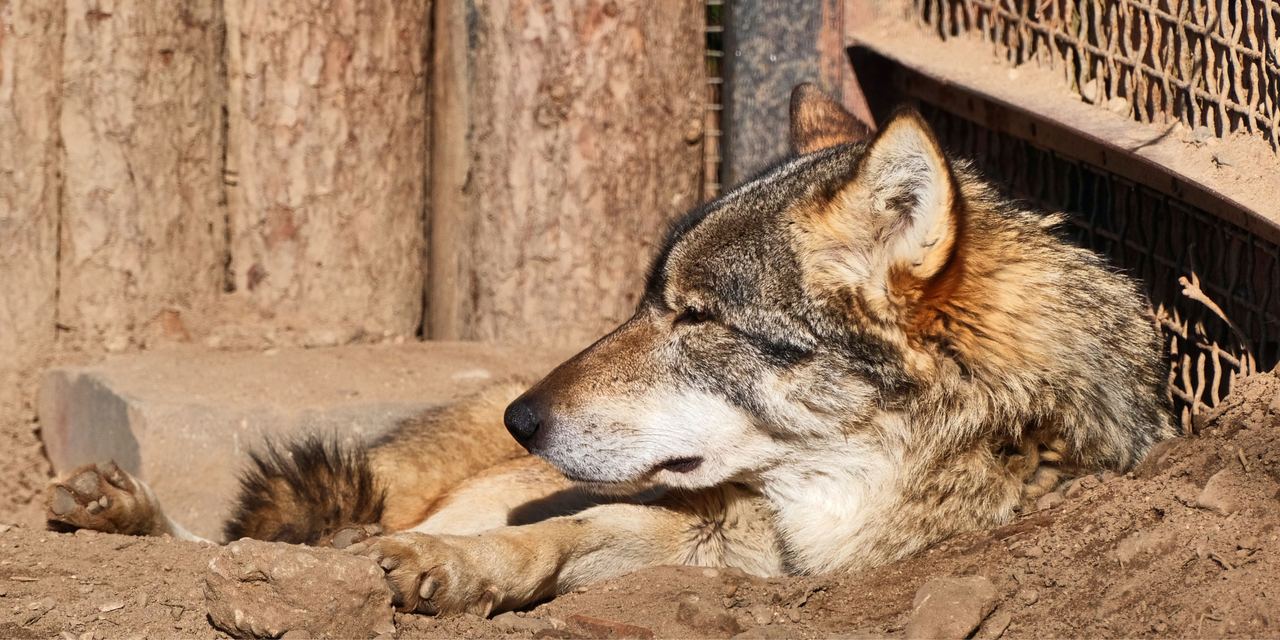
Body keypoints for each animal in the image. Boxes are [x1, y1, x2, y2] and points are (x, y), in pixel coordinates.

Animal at [46, 84, 1173, 617]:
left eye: (696, 317)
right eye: (644, 299)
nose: (524, 419)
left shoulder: (730, 560)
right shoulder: (692, 529)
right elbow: (566, 530)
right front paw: (460, 570)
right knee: (259, 540)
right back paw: (121, 513)